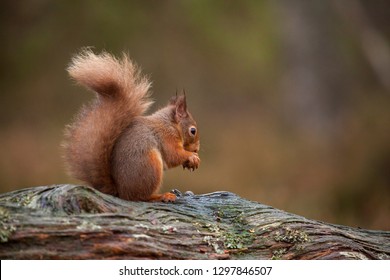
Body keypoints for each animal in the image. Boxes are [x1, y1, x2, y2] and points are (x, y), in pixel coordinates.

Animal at [63, 49, 201, 201]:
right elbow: (174, 155)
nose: (197, 149)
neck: (171, 124)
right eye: (193, 131)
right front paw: (192, 157)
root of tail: (121, 191)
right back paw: (161, 196)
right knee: (141, 196)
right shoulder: (166, 137)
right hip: (150, 166)